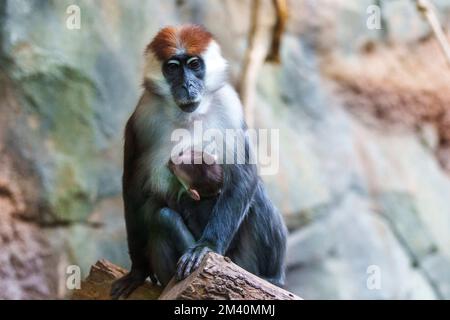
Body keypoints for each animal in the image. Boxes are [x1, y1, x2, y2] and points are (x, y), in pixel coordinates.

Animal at [110, 25, 286, 300]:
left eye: (194, 65)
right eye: (172, 68)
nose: (187, 85)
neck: (188, 114)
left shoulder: (229, 105)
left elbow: (244, 176)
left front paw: (207, 246)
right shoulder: (143, 115)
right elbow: (133, 190)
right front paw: (137, 272)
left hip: (243, 262)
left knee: (257, 193)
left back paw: (272, 278)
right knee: (156, 212)